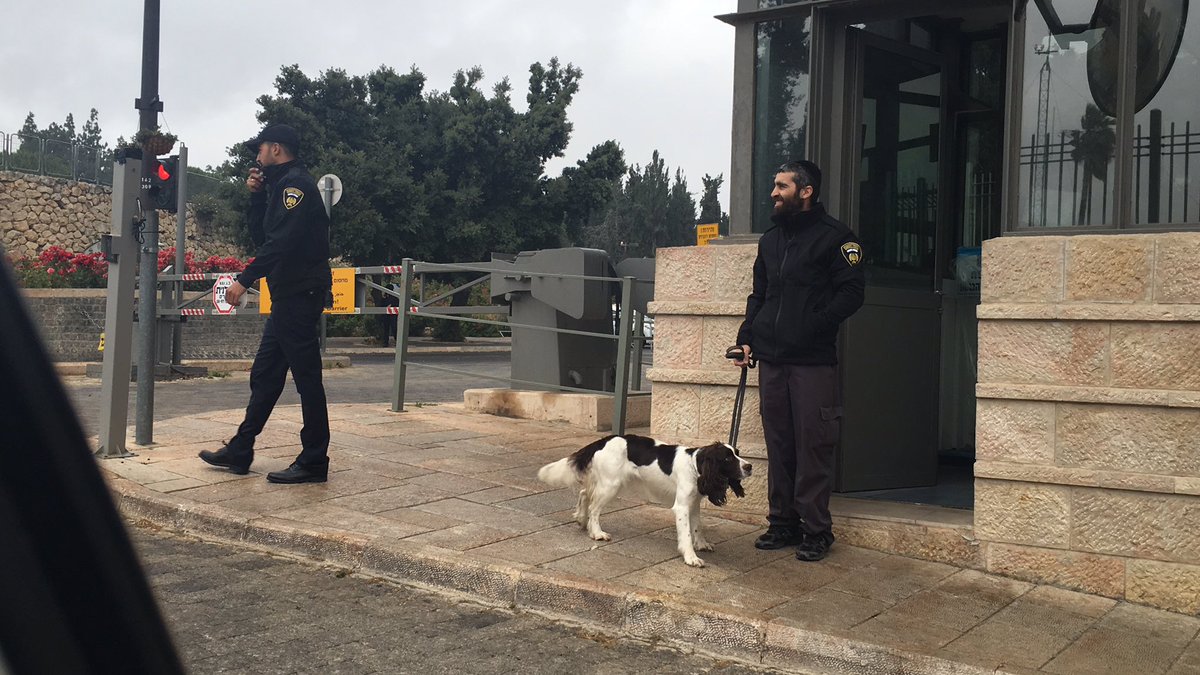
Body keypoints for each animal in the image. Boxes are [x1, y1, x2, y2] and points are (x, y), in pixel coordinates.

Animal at [537, 434, 752, 567]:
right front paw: (691, 557)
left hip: (607, 483)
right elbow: (686, 534)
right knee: (594, 508)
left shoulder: (694, 503)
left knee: (584, 493)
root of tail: (605, 439)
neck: (695, 465)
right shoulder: (682, 506)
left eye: (738, 453)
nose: (750, 466)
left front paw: (701, 544)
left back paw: (582, 520)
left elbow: (698, 527)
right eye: (727, 458)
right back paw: (597, 532)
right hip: (611, 485)